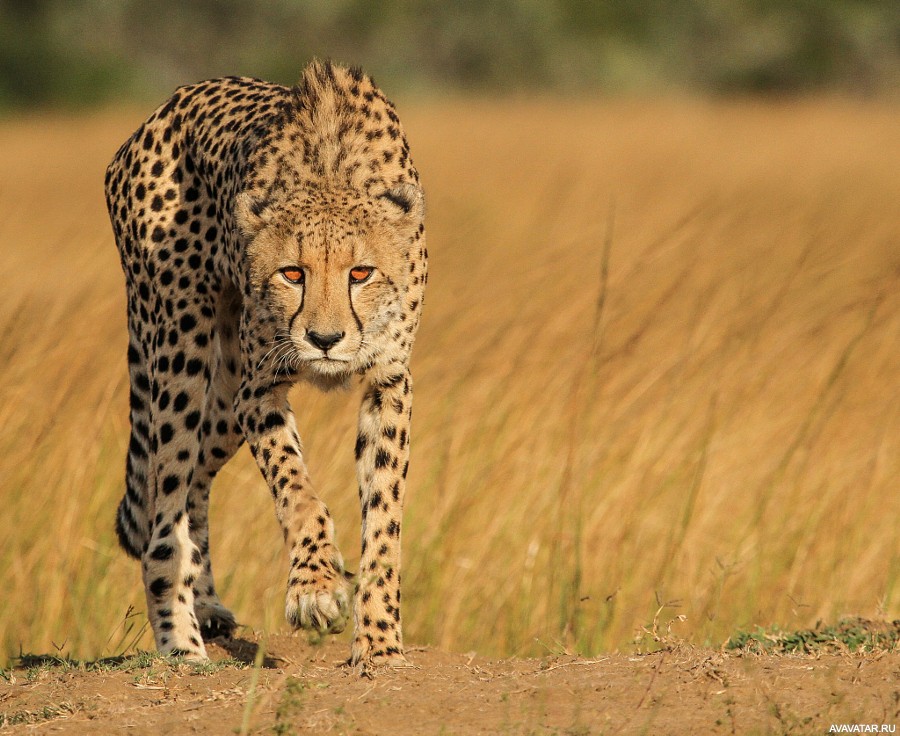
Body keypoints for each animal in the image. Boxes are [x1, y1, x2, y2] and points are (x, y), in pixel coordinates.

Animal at [103, 59, 428, 668]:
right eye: (292, 273)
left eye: (361, 273)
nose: (324, 339)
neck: (331, 171)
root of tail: (162, 109)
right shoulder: (260, 388)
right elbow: (297, 488)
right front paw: (316, 587)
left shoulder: (389, 381)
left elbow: (384, 517)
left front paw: (378, 642)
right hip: (180, 343)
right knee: (163, 508)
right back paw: (183, 647)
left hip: (223, 391)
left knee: (195, 479)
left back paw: (207, 605)